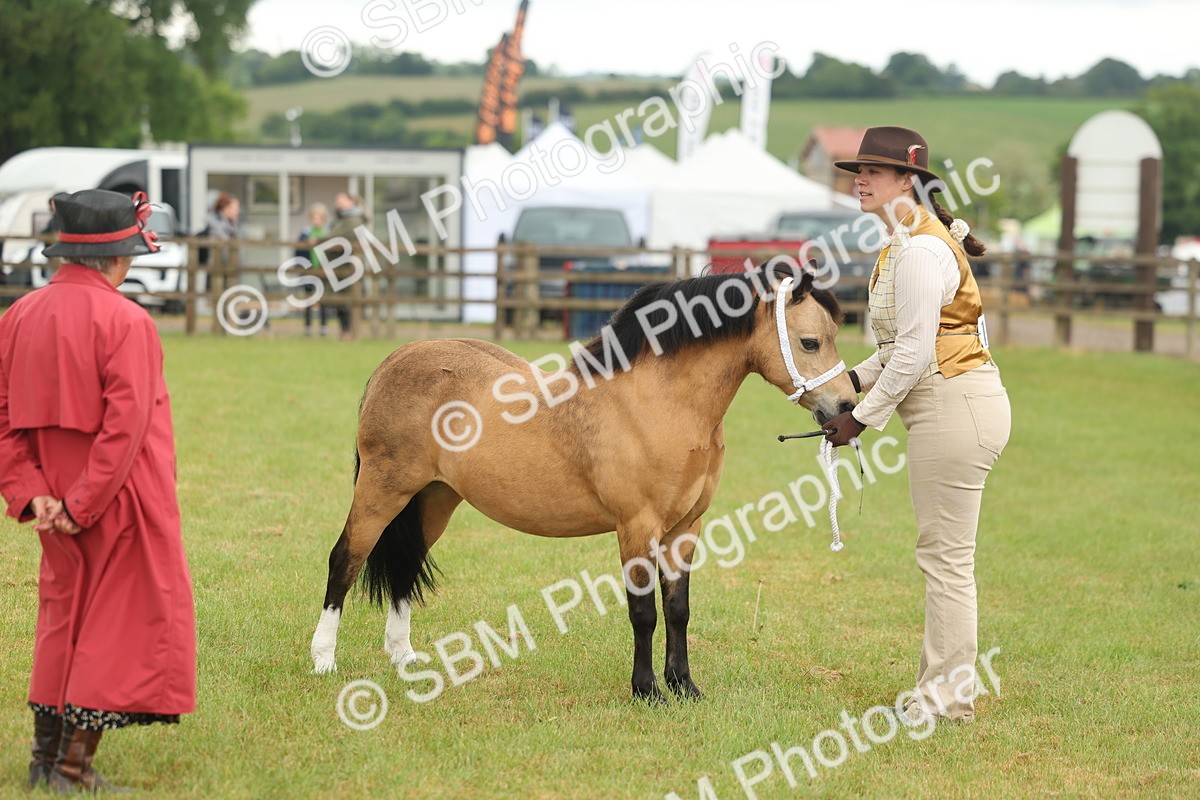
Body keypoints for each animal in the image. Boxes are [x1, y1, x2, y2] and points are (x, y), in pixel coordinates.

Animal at [310, 264, 858, 702]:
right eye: (810, 342)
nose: (845, 407)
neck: (656, 402)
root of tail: (395, 360)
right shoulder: (636, 528)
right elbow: (644, 613)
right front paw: (647, 692)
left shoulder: (686, 528)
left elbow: (678, 609)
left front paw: (684, 687)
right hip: (383, 490)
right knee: (345, 560)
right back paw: (324, 660)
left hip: (434, 498)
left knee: (405, 567)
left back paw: (404, 658)